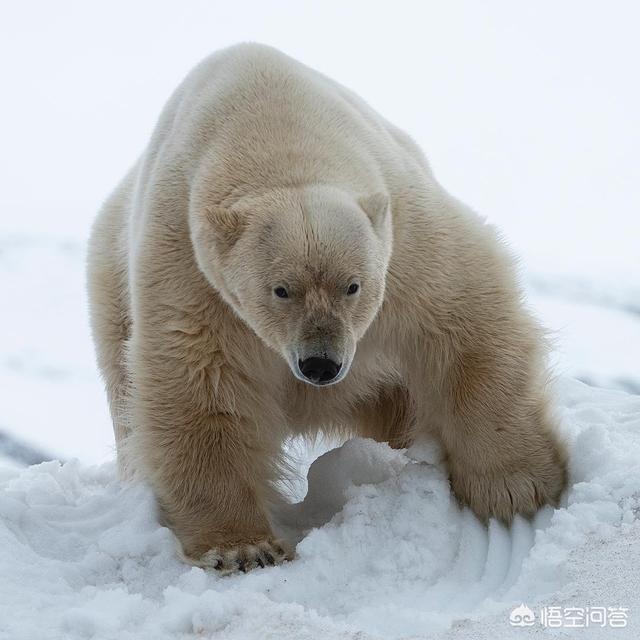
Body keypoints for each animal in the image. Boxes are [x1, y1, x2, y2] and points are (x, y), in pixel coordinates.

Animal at [87, 45, 568, 576]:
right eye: (280, 290)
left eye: (352, 286)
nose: (320, 364)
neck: (273, 128)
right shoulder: (191, 269)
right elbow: (199, 384)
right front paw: (242, 548)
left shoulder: (404, 238)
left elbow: (463, 317)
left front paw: (515, 488)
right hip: (111, 295)